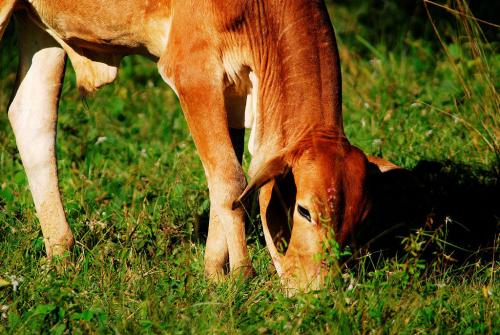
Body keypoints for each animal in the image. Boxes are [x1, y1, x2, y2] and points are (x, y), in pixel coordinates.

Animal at [1, 0, 396, 292]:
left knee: (31, 117)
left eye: (360, 219)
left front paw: (213, 272)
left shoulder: (232, 94)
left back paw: (60, 253)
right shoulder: (191, 69)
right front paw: (241, 275)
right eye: (304, 211)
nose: (320, 291)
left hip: (40, 31)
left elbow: (223, 183)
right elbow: (232, 181)